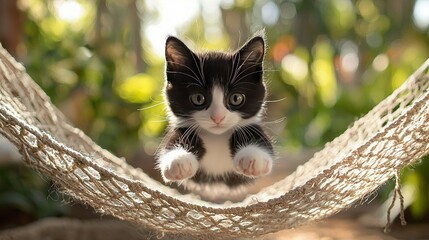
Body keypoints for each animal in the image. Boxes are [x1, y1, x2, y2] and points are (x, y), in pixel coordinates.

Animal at [157, 31, 274, 197]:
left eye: (236, 98)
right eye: (198, 98)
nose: (217, 117)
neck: (216, 138)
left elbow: (261, 139)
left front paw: (253, 158)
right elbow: (173, 140)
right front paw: (178, 160)